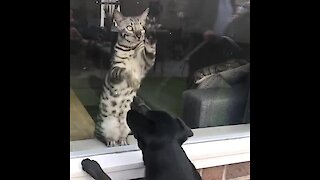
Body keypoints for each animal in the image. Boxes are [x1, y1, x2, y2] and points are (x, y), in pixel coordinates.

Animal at [94, 7, 156, 147]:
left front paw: (150, 40)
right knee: (104, 137)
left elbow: (150, 53)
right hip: (104, 126)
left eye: (141, 27)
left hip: (127, 126)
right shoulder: (114, 71)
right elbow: (124, 71)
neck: (131, 49)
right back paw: (111, 142)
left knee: (122, 136)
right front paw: (133, 81)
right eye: (129, 28)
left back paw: (123, 141)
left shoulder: (145, 66)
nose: (139, 35)